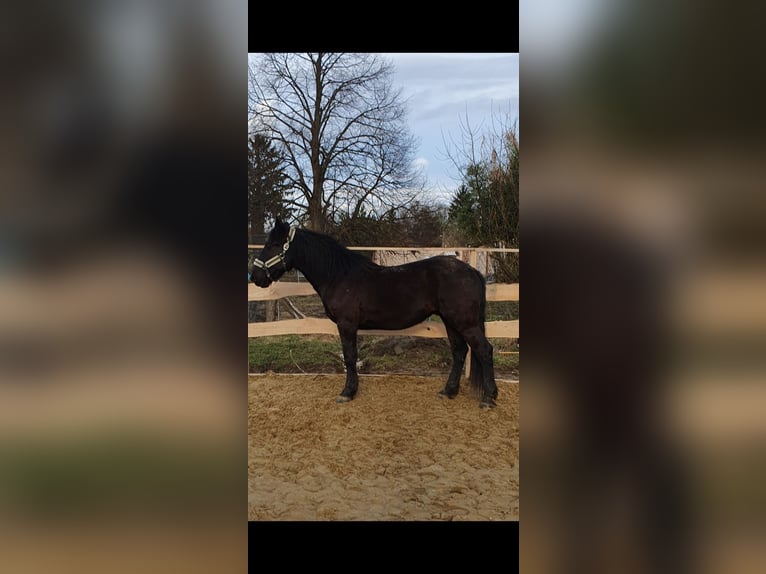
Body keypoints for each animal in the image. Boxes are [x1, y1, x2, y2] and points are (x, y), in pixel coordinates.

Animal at [249, 219, 496, 410]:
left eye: (273, 245)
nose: (256, 276)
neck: (339, 275)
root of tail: (472, 271)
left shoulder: (346, 324)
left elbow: (349, 357)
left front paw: (348, 392)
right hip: (450, 321)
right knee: (459, 352)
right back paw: (449, 391)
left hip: (465, 323)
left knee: (484, 351)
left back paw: (489, 398)